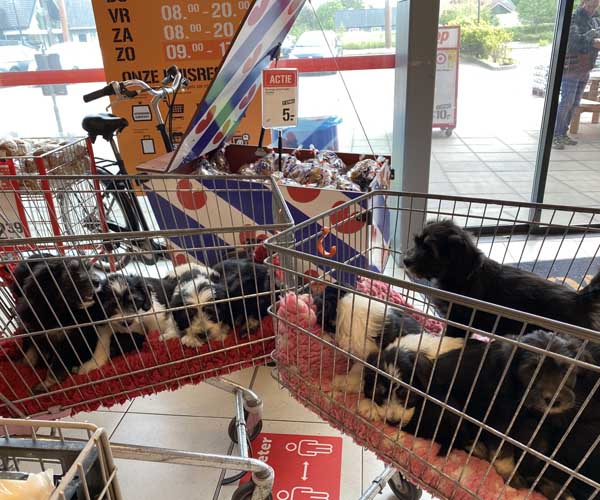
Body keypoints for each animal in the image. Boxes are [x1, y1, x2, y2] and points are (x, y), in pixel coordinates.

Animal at [403, 220, 600, 337]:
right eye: (416, 242)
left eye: (430, 250)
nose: (405, 261)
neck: (464, 276)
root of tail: (579, 299)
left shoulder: (458, 321)